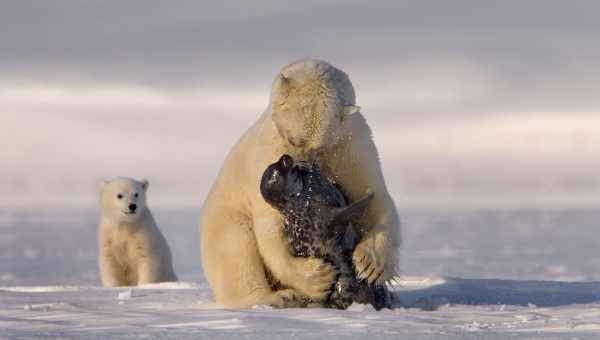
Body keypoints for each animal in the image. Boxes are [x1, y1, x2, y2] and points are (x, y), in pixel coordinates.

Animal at [199, 59, 400, 308]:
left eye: (318, 147)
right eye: (293, 140)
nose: (298, 163)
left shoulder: (351, 144)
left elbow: (373, 194)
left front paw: (371, 264)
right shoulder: (269, 149)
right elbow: (270, 227)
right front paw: (316, 278)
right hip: (223, 218)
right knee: (236, 247)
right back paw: (279, 296)